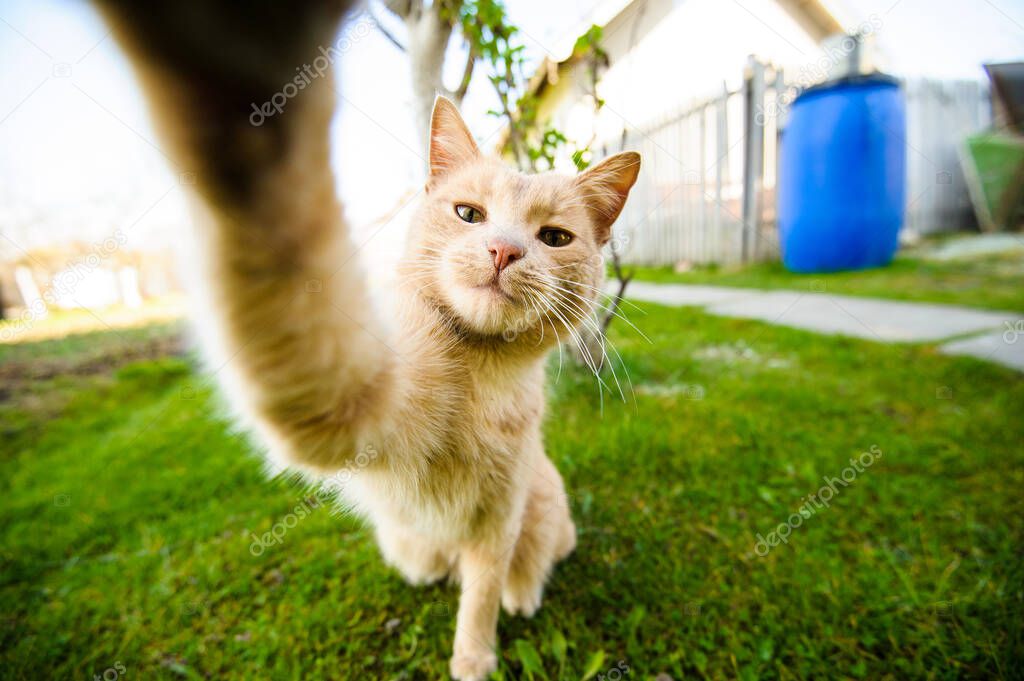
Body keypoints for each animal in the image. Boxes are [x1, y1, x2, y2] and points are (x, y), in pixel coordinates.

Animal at [96, 2, 638, 675]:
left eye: (555, 238)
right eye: (469, 215)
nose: (503, 250)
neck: (479, 375)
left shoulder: (500, 515)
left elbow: (484, 588)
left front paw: (474, 655)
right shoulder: (354, 406)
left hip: (542, 508)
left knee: (532, 559)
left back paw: (523, 590)